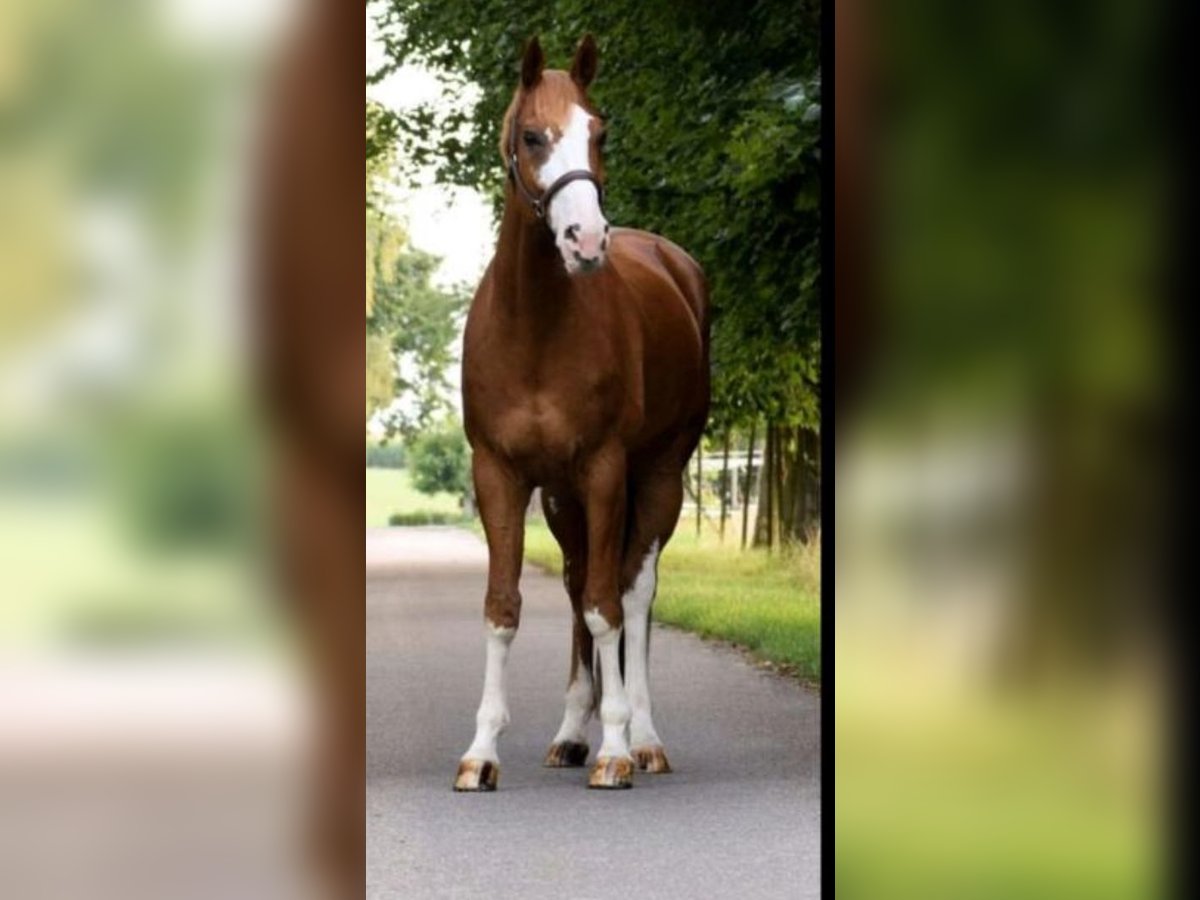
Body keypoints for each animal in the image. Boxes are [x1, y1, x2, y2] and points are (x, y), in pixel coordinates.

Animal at [453, 37, 705, 796]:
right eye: (533, 135)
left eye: (600, 134)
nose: (586, 238)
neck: (536, 326)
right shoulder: (500, 474)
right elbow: (505, 607)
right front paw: (482, 751)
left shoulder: (604, 470)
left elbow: (606, 607)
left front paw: (616, 748)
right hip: (563, 499)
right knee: (572, 583)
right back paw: (569, 734)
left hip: (658, 479)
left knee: (633, 591)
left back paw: (644, 739)